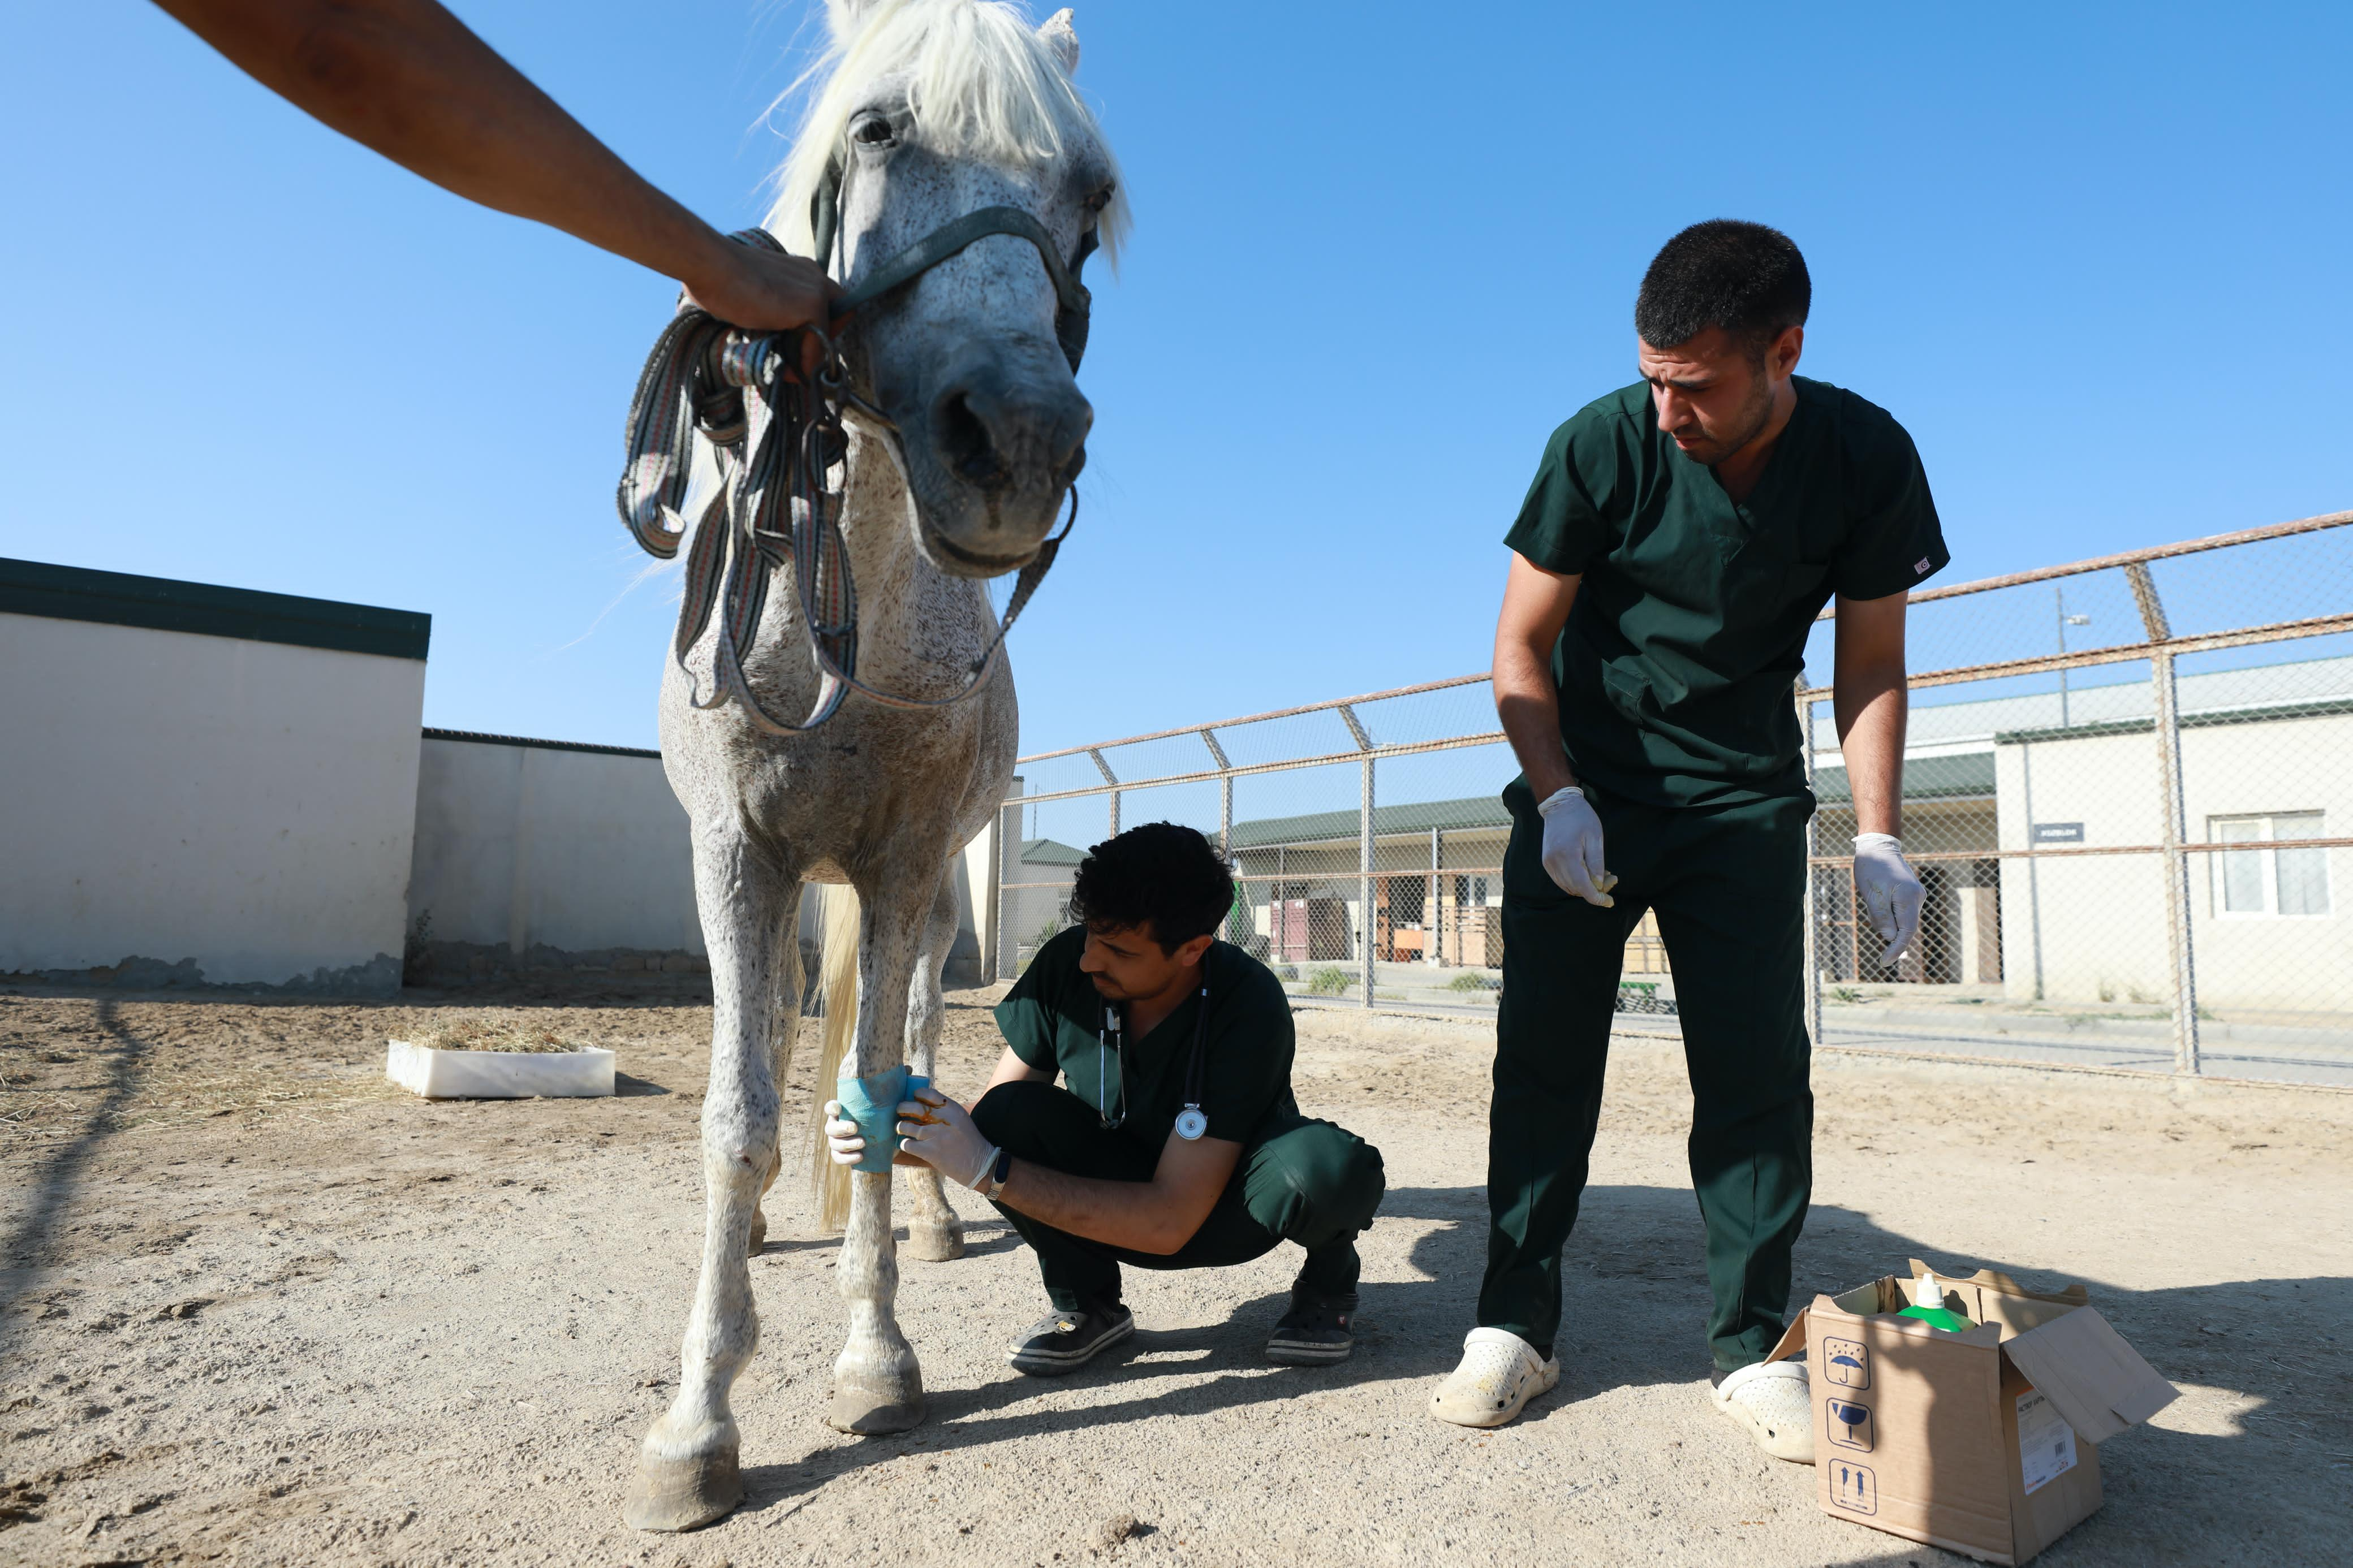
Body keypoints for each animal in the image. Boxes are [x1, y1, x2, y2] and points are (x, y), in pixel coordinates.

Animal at [621, 0, 1124, 1523]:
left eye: (1093, 195)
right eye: (877, 127)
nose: (1018, 438)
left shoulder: (901, 870)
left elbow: (887, 1090)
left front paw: (877, 1361)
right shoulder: (740, 859)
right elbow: (738, 1117)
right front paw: (695, 1427)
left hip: (941, 896)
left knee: (912, 1045)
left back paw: (946, 1225)